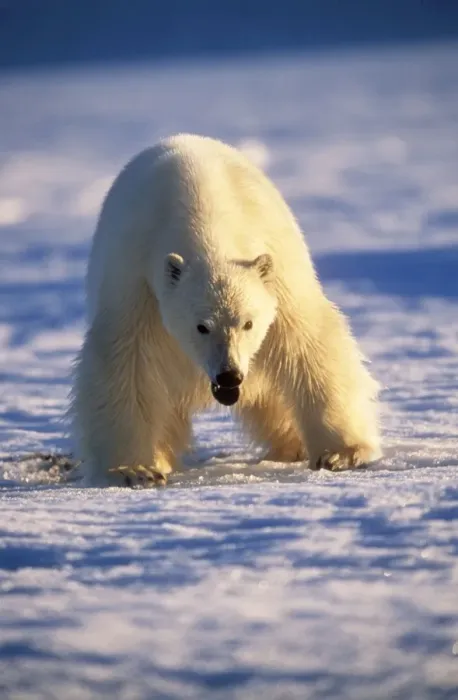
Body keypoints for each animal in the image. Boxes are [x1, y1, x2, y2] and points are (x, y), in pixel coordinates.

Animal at [70, 133, 381, 487]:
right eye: (201, 326)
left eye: (248, 323)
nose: (228, 375)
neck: (203, 207)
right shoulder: (136, 279)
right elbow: (123, 362)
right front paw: (133, 470)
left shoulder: (277, 269)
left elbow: (307, 343)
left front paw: (341, 453)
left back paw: (292, 445)